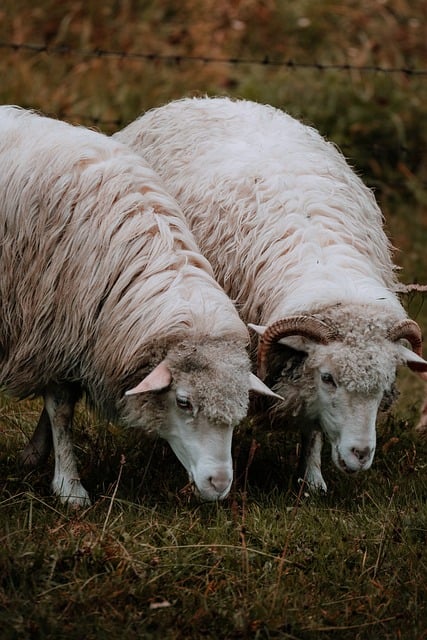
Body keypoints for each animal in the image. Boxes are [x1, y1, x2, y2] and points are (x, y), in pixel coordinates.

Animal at [0, 105, 278, 507]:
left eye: (239, 407)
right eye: (183, 402)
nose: (219, 485)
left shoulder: (75, 336)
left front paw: (35, 456)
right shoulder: (52, 327)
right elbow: (61, 410)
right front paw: (70, 488)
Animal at [114, 96, 427, 492]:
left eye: (385, 383)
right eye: (328, 378)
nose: (360, 455)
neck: (325, 262)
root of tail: (201, 99)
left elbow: (313, 428)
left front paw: (312, 480)